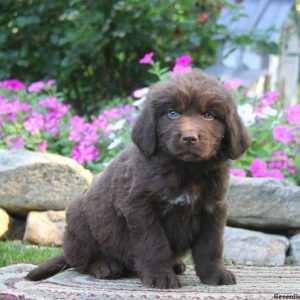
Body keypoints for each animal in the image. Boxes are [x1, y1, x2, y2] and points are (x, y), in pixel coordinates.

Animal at [26, 69, 251, 288]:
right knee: (80, 261)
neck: (186, 170)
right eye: (172, 113)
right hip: (79, 219)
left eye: (209, 115)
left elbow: (211, 246)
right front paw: (160, 276)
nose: (189, 138)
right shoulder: (140, 207)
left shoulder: (213, 208)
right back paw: (105, 266)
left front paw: (215, 274)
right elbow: (154, 244)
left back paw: (176, 265)